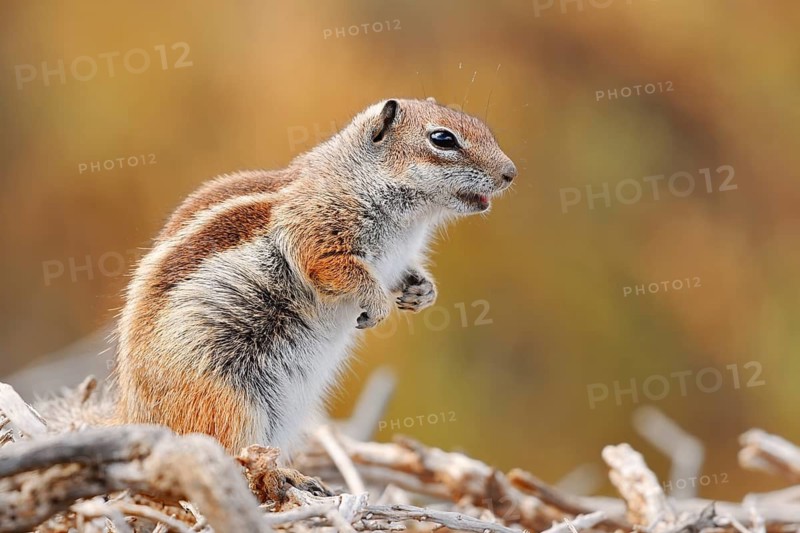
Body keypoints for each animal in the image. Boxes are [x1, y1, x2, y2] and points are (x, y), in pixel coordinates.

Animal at [49, 98, 515, 480]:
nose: (511, 173)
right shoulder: (317, 233)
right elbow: (333, 267)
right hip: (228, 401)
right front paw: (377, 305)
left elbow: (404, 275)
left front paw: (421, 292)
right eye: (443, 139)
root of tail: (132, 415)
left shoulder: (396, 259)